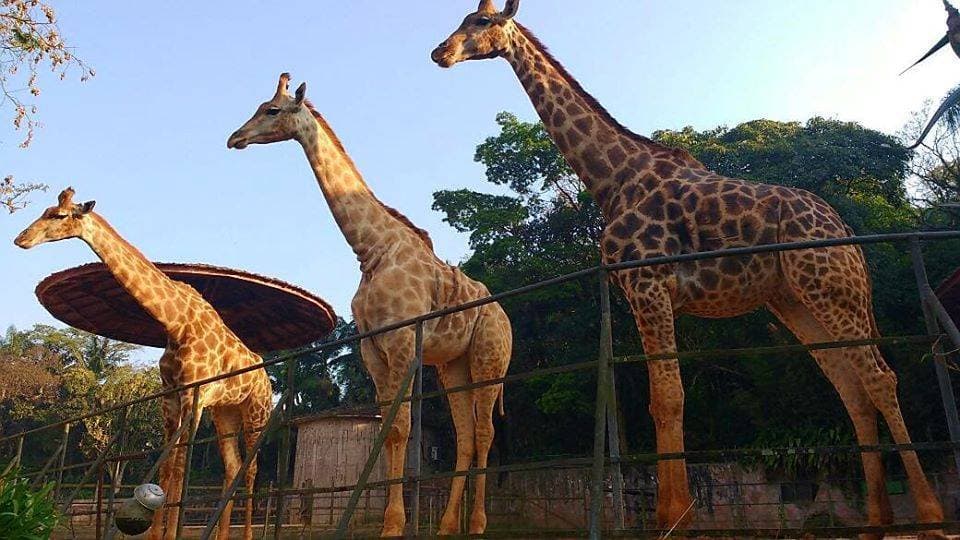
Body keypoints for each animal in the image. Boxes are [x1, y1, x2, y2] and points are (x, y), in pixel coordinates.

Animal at [14, 189, 274, 540]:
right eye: (45, 211)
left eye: (58, 215)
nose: (20, 239)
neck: (175, 323)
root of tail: (266, 377)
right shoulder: (170, 397)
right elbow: (166, 467)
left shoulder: (194, 396)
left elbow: (179, 466)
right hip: (225, 411)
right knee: (233, 466)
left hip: (256, 409)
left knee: (252, 469)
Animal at [226, 75, 512, 536]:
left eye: (271, 109)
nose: (235, 138)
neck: (372, 249)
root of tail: (506, 318)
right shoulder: (371, 349)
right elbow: (389, 431)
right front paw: (393, 522)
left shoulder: (401, 342)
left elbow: (401, 428)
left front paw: (393, 524)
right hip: (454, 365)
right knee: (466, 435)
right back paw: (447, 525)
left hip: (490, 360)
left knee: (485, 431)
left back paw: (478, 524)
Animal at [436, 1, 944, 536]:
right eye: (463, 19)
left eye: (482, 22)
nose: (439, 52)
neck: (612, 179)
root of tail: (846, 231)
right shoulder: (640, 294)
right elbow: (659, 399)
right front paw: (669, 511)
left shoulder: (650, 284)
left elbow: (670, 396)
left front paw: (675, 515)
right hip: (796, 299)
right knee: (851, 388)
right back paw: (875, 519)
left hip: (831, 288)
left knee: (880, 378)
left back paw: (928, 513)